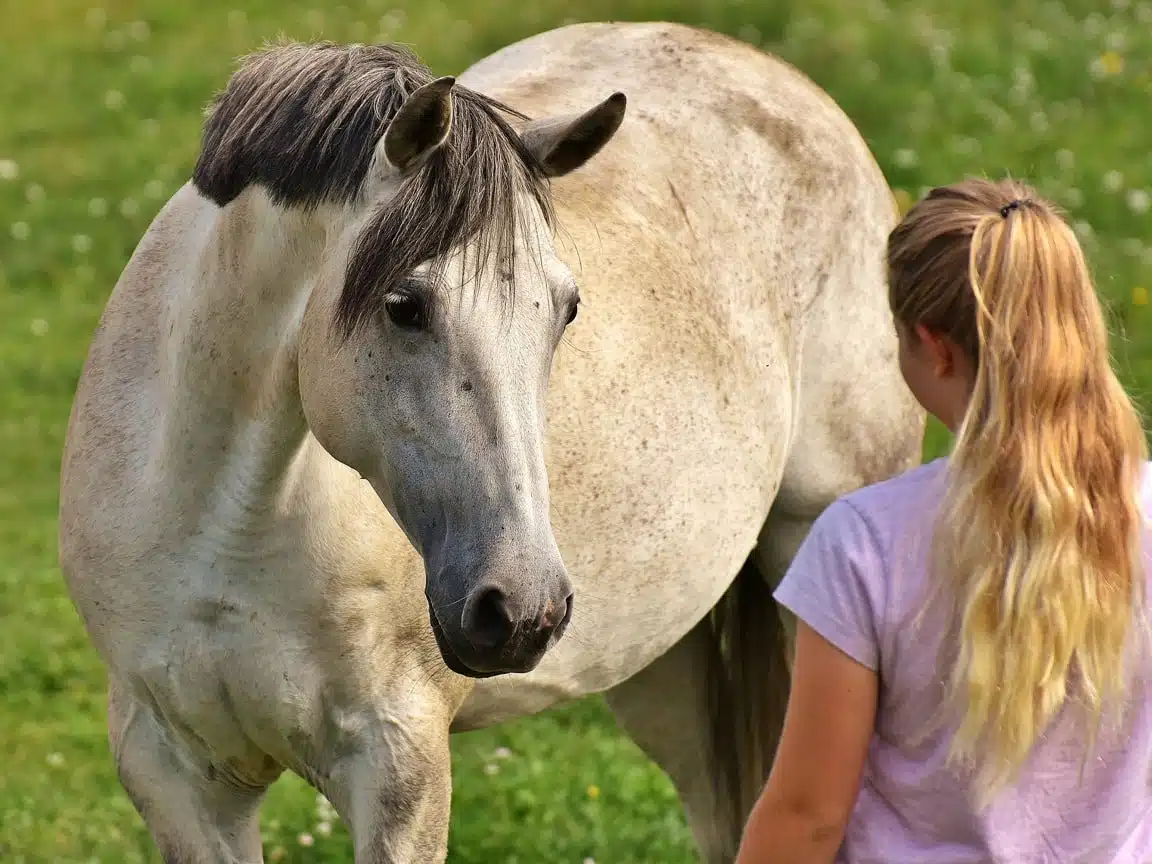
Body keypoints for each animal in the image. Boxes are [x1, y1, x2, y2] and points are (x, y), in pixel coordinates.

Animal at [60, 22, 926, 864]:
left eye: (566, 309)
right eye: (404, 306)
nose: (522, 610)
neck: (226, 526)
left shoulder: (401, 765)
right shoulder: (174, 772)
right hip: (661, 662)